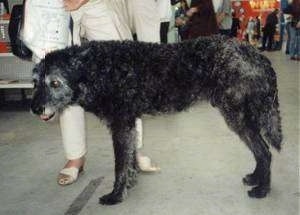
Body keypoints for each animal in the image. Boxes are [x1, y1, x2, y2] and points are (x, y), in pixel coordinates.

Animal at [31, 35, 282, 205]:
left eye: (55, 83)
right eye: (35, 82)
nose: (34, 108)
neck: (99, 69)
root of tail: (256, 54)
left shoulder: (120, 125)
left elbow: (120, 164)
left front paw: (116, 195)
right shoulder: (129, 125)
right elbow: (130, 159)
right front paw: (130, 183)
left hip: (236, 116)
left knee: (264, 151)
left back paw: (263, 190)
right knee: (262, 152)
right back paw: (256, 179)